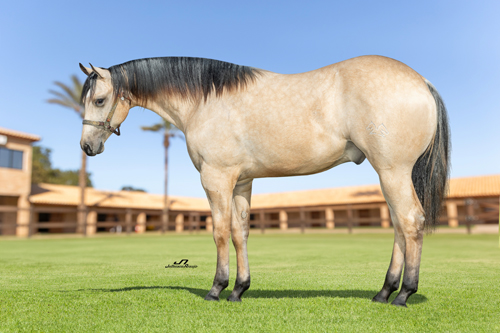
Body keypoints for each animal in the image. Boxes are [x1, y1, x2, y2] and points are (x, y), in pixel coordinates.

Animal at [78, 55, 450, 306]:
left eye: (99, 100)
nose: (87, 147)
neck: (206, 101)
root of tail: (422, 81)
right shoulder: (242, 182)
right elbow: (240, 232)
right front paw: (240, 288)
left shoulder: (216, 178)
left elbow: (219, 231)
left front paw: (217, 288)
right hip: (388, 174)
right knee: (399, 226)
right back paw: (384, 291)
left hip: (393, 171)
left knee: (411, 221)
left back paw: (404, 294)